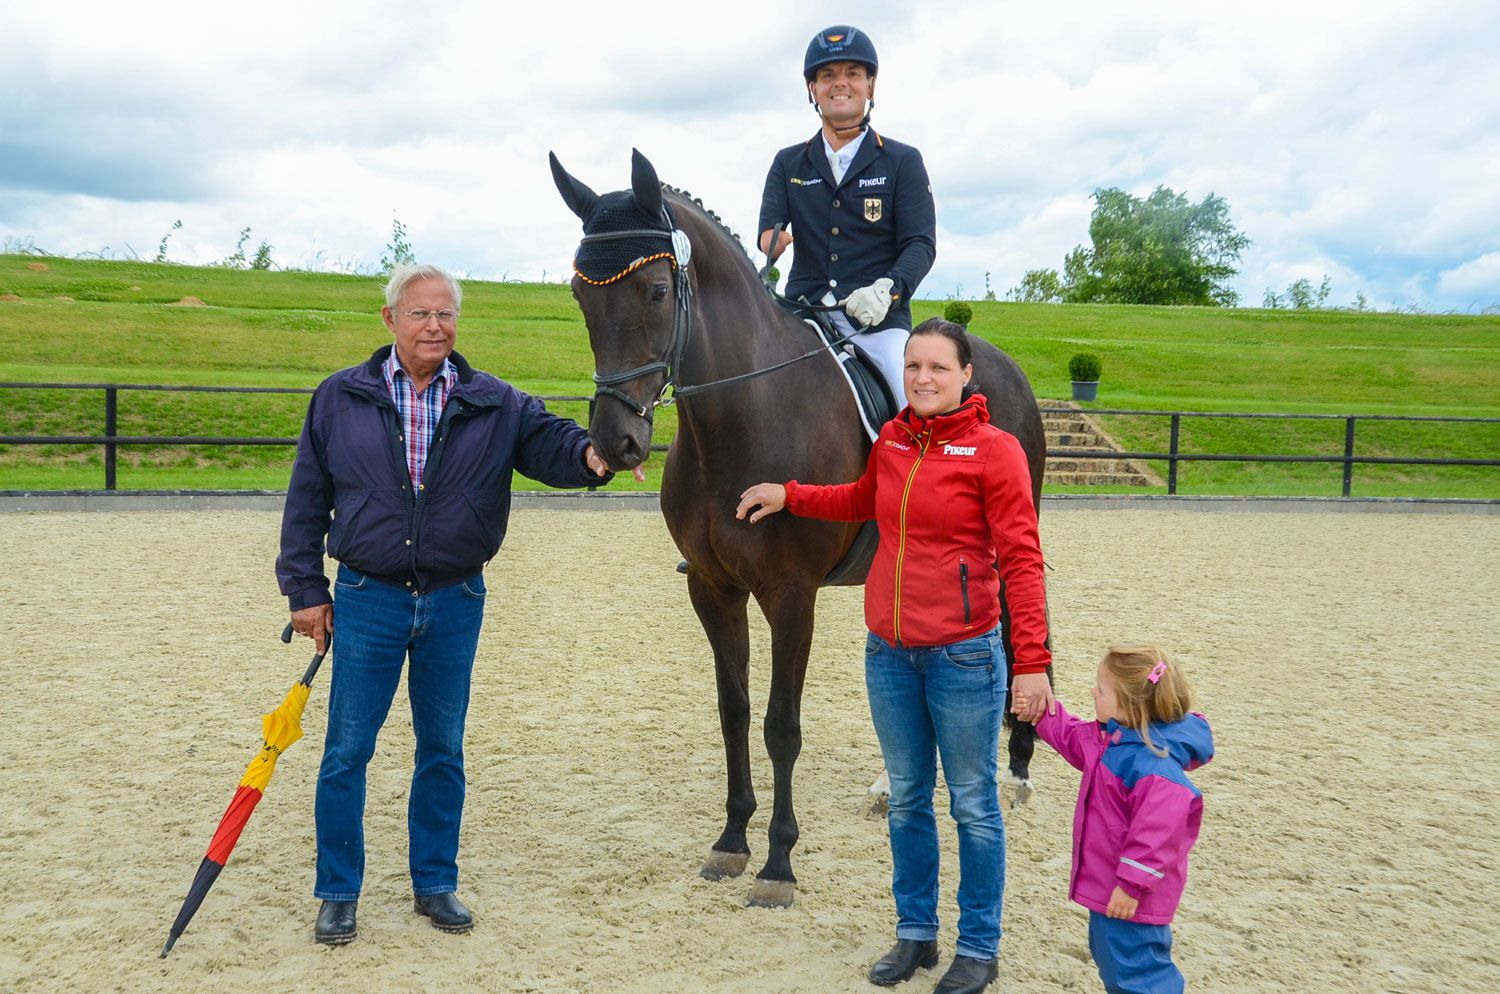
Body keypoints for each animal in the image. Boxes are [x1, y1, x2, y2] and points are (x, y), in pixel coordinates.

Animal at [555, 149, 1056, 911]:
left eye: (655, 293)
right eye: (582, 297)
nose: (617, 443)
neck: (741, 413)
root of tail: (1006, 368)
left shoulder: (791, 594)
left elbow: (780, 725)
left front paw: (777, 864)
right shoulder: (713, 589)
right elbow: (734, 711)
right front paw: (732, 840)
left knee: (1015, 632)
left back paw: (1017, 769)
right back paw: (893, 786)